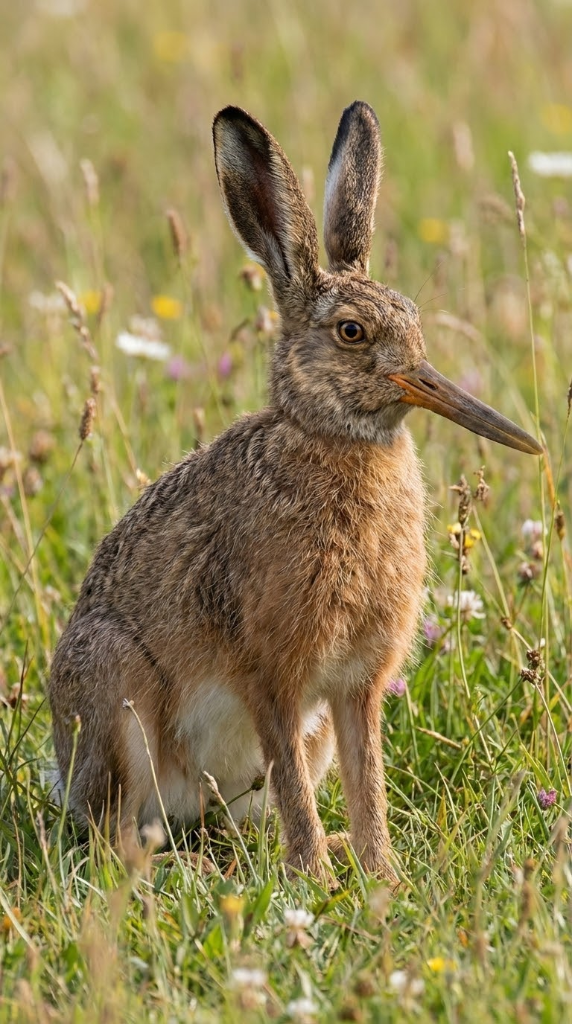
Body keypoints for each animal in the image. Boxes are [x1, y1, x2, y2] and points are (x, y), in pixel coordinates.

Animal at [49, 101, 541, 885]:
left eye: (414, 320)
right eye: (352, 332)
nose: (428, 378)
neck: (334, 437)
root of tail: (61, 770)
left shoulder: (355, 684)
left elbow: (366, 779)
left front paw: (379, 873)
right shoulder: (270, 670)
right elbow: (295, 785)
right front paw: (317, 877)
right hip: (116, 692)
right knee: (116, 839)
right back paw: (192, 872)